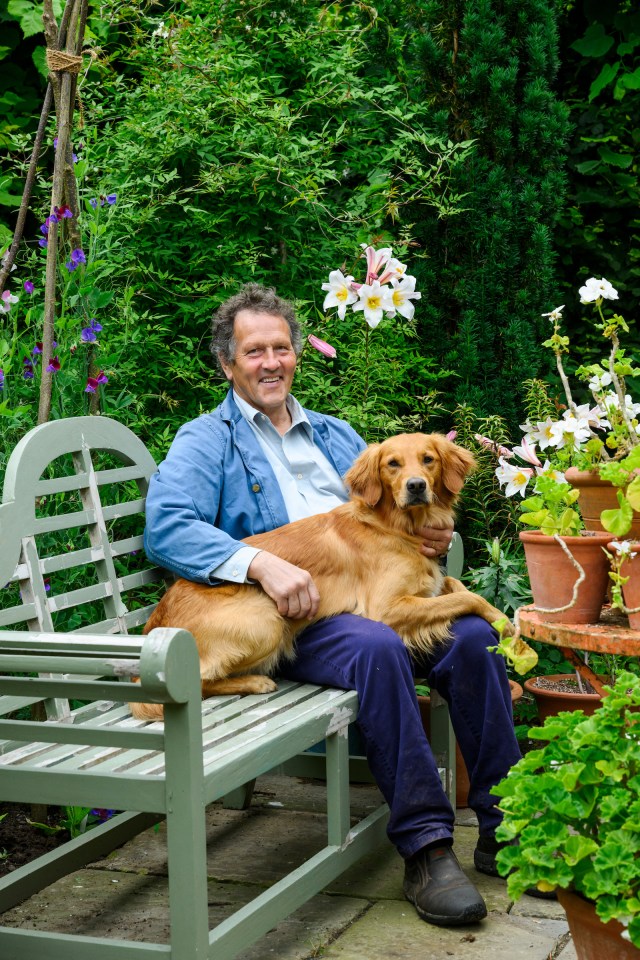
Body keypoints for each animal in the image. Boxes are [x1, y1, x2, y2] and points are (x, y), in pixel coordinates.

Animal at [130, 436, 510, 720]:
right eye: (393, 464)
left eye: (428, 459)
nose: (416, 486)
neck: (399, 528)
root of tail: (156, 625)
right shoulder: (386, 607)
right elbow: (467, 596)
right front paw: (506, 623)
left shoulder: (427, 585)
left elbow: (456, 586)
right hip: (266, 620)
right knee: (194, 683)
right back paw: (254, 682)